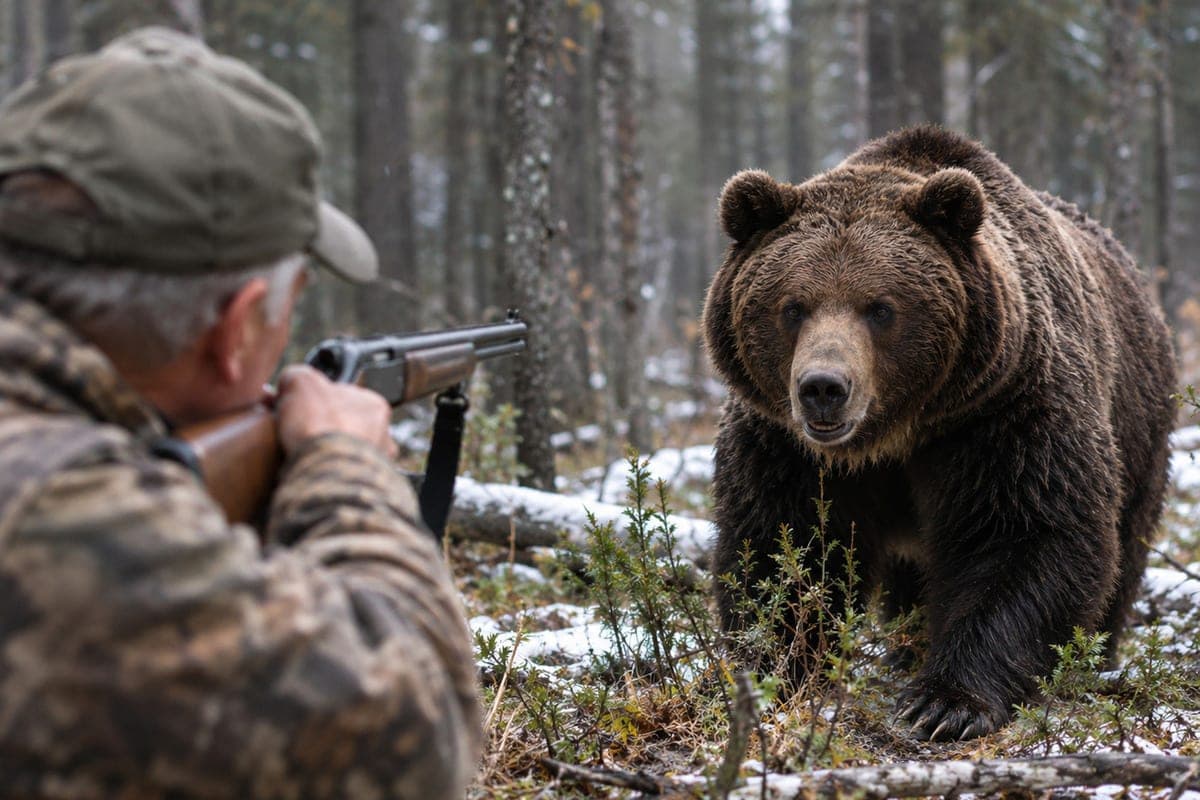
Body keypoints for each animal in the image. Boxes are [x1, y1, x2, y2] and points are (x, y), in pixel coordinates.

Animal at [702, 125, 1176, 741]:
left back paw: (1093, 656)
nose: (823, 387)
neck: (891, 436)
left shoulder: (1003, 414)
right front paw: (770, 670)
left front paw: (946, 703)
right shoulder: (784, 444)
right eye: (793, 306)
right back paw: (904, 646)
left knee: (1125, 545)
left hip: (1140, 428)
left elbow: (1025, 535)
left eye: (880, 308)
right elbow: (784, 546)